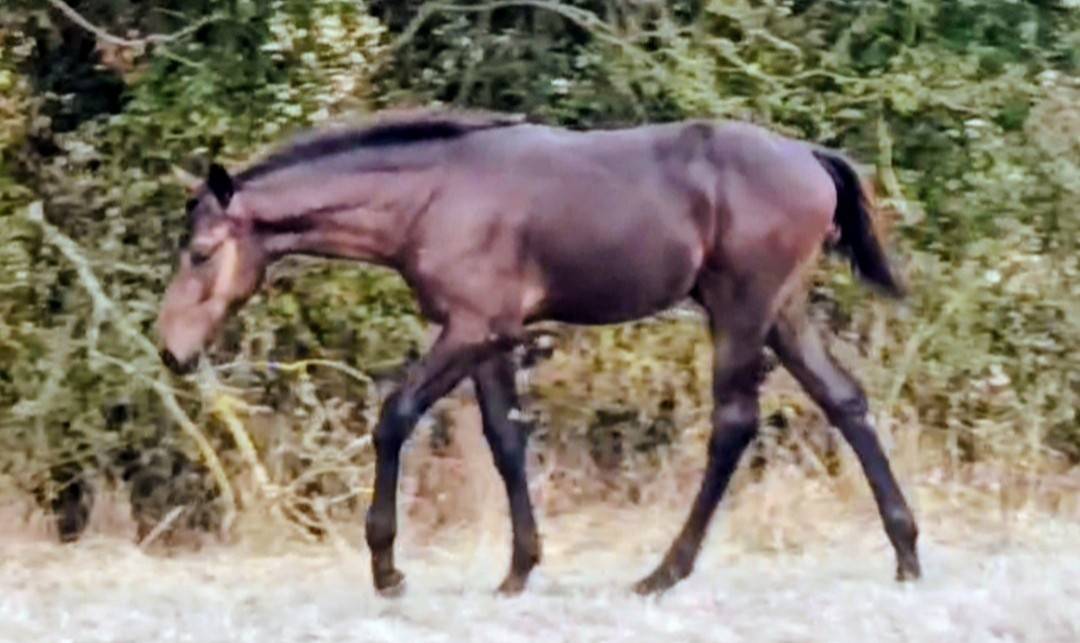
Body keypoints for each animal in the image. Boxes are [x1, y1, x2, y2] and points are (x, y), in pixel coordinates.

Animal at [156, 109, 921, 596]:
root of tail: (812, 157)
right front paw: (519, 569)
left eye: (201, 253)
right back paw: (906, 553)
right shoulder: (490, 336)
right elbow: (505, 440)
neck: (432, 195)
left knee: (733, 423)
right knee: (846, 401)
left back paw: (662, 572)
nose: (172, 351)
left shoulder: (467, 329)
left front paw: (387, 567)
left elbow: (394, 416)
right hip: (782, 314)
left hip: (741, 310)